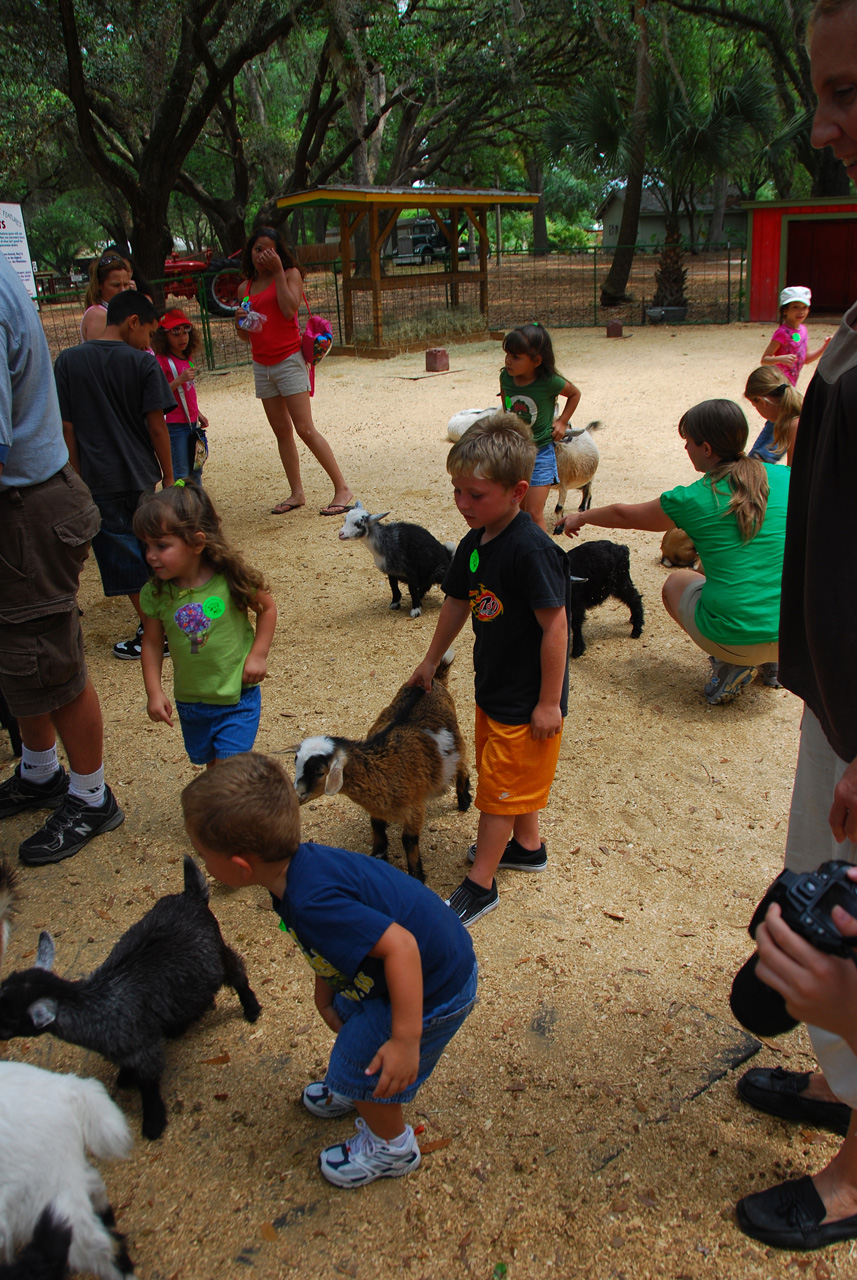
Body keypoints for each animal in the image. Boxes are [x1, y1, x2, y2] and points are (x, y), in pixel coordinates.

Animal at [0, 860, 259, 1141]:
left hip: (215, 953)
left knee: (236, 971)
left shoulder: (144, 1050)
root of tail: (191, 896)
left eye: (8, 1018)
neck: (97, 1004)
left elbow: (149, 1086)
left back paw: (251, 1008)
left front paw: (154, 1123)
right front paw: (124, 1078)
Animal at [294, 650, 470, 880]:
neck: (381, 767)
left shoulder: (415, 807)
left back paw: (464, 800)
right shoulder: (376, 806)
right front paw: (379, 855)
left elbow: (409, 840)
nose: (297, 795)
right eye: (296, 763)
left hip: (456, 742)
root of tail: (436, 679)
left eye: (319, 771)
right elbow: (376, 826)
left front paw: (416, 875)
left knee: (463, 763)